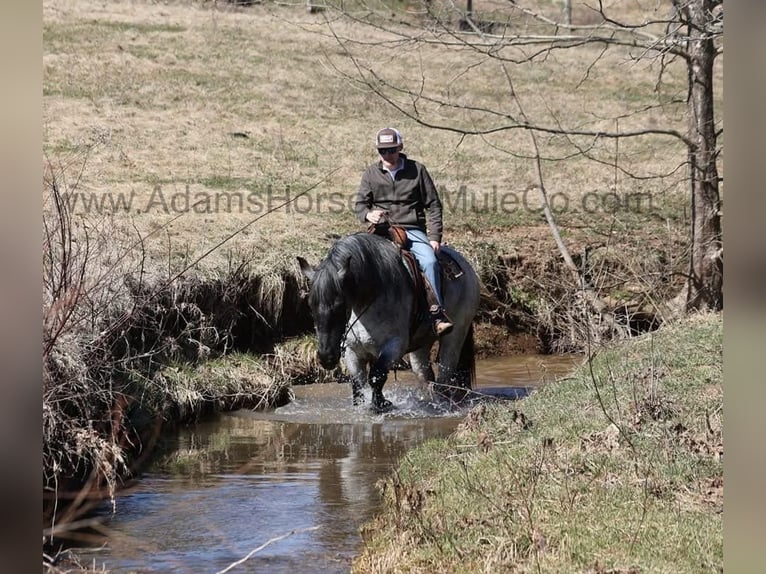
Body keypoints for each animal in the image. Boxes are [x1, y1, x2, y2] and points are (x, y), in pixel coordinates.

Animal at [297, 232, 481, 412]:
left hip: (455, 336)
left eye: (340, 305)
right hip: (422, 344)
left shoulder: (394, 346)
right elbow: (358, 383)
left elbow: (376, 376)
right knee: (425, 374)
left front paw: (381, 404)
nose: (326, 357)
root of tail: (466, 265)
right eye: (310, 306)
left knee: (445, 375)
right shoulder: (352, 351)